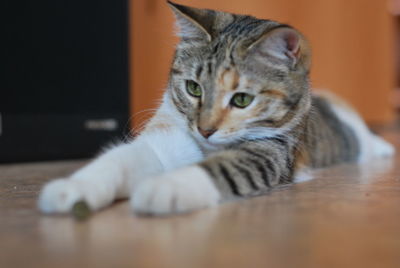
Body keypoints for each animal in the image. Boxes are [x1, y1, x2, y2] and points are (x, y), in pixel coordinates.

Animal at [37, 1, 394, 216]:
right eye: (193, 88)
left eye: (242, 99)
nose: (205, 129)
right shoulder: (163, 138)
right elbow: (118, 161)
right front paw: (73, 188)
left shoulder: (269, 151)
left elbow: (220, 168)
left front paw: (165, 187)